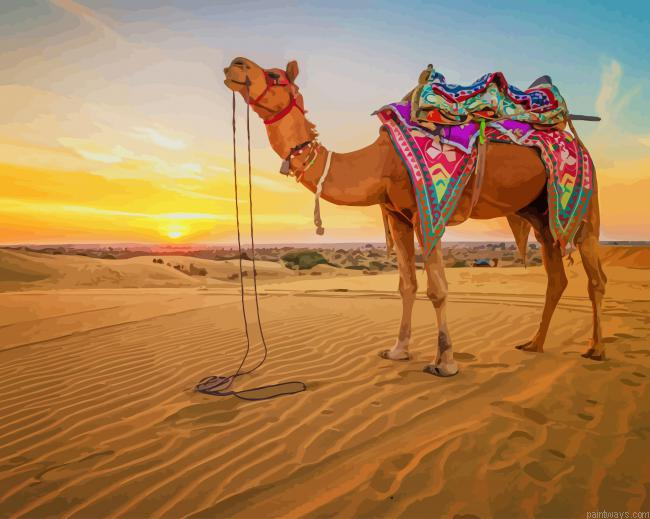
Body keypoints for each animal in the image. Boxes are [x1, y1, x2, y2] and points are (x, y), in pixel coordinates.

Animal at [223, 57, 608, 377]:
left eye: (274, 75)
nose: (236, 64)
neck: (379, 163)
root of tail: (576, 141)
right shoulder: (399, 217)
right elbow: (406, 285)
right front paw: (398, 350)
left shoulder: (429, 212)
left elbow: (437, 289)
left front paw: (445, 362)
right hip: (540, 214)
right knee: (556, 275)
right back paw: (534, 344)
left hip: (585, 202)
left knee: (594, 276)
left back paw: (596, 349)